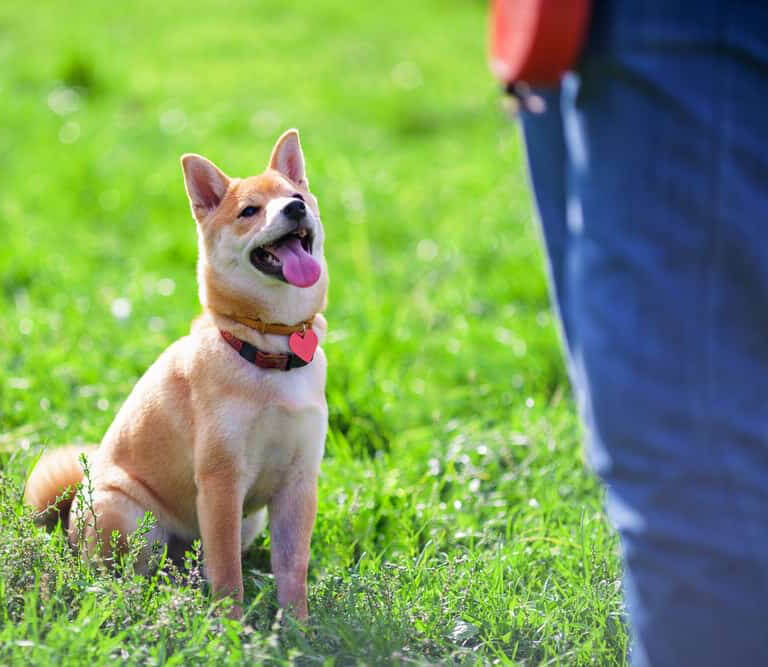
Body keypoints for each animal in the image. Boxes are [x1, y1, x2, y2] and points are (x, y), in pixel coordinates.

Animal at [23, 130, 330, 620]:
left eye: (296, 197)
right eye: (250, 211)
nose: (295, 210)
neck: (268, 347)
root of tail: (70, 519)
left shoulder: (299, 483)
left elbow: (292, 569)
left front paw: (297, 626)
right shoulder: (221, 481)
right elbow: (227, 574)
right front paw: (232, 627)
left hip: (248, 521)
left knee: (190, 566)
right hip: (128, 516)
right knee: (123, 575)